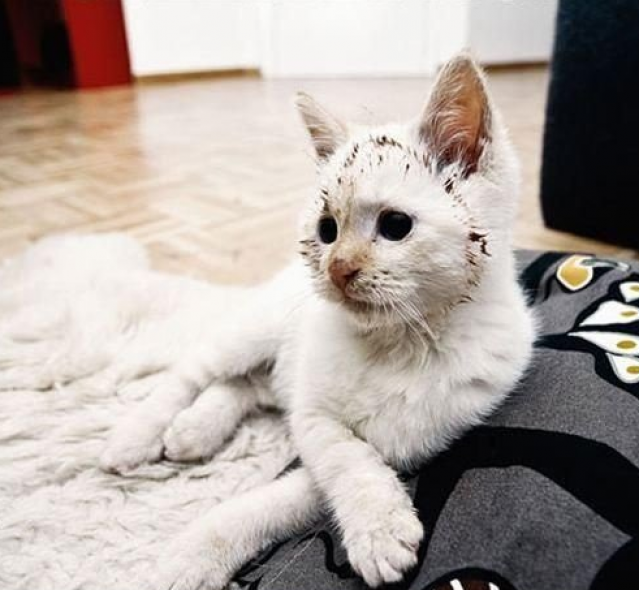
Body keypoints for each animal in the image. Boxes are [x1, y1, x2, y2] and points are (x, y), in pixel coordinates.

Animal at [98, 54, 535, 590]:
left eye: (395, 226)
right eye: (326, 231)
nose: (337, 268)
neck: (402, 343)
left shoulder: (409, 442)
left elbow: (287, 498)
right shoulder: (313, 417)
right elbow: (345, 460)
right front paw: (379, 528)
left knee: (244, 386)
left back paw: (193, 431)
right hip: (253, 332)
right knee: (193, 375)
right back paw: (136, 437)